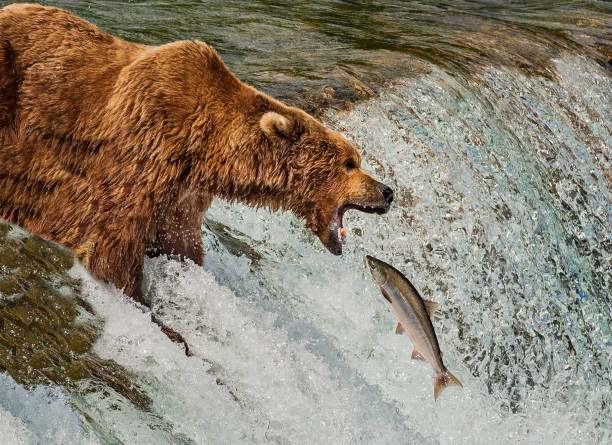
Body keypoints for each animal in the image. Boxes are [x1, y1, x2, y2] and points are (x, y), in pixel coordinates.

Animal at [0, 1, 392, 300]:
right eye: (349, 163)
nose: (387, 191)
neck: (207, 151)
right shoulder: (146, 146)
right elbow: (113, 241)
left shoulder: (182, 196)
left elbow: (182, 245)